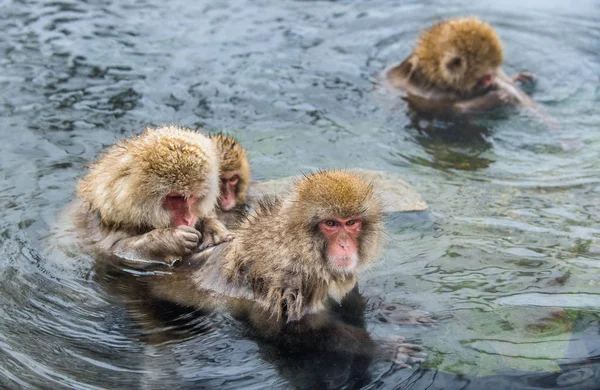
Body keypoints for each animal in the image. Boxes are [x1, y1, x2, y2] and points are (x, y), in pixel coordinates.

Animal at [63, 126, 232, 270]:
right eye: (176, 197)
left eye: (192, 197)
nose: (188, 218)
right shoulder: (101, 226)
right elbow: (114, 253)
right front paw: (170, 239)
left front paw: (212, 228)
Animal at [146, 171, 426, 366]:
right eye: (331, 224)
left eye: (351, 223)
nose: (345, 245)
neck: (301, 247)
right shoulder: (288, 280)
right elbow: (287, 332)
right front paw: (381, 349)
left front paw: (391, 311)